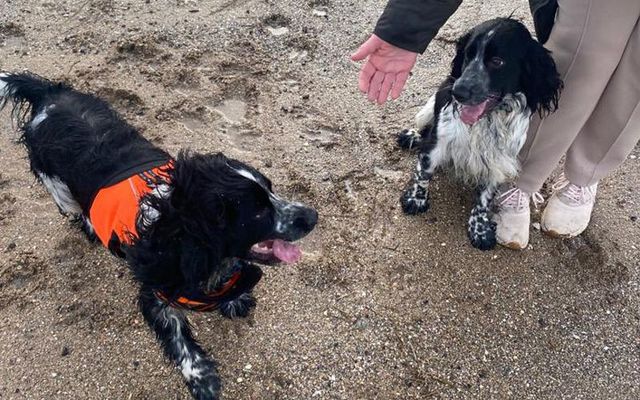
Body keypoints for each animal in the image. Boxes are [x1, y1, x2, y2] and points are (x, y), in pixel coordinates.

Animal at [0, 72, 318, 400]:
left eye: (271, 190)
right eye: (257, 212)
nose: (312, 216)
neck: (175, 221)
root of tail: (49, 94)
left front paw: (235, 299)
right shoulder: (155, 292)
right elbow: (179, 339)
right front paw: (202, 378)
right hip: (59, 189)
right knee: (75, 206)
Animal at [398, 18, 564, 252]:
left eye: (497, 61)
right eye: (468, 55)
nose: (458, 91)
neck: (487, 119)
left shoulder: (499, 160)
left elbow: (484, 198)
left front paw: (480, 229)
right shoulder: (439, 143)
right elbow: (424, 172)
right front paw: (415, 199)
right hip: (428, 110)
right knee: (425, 128)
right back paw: (411, 136)